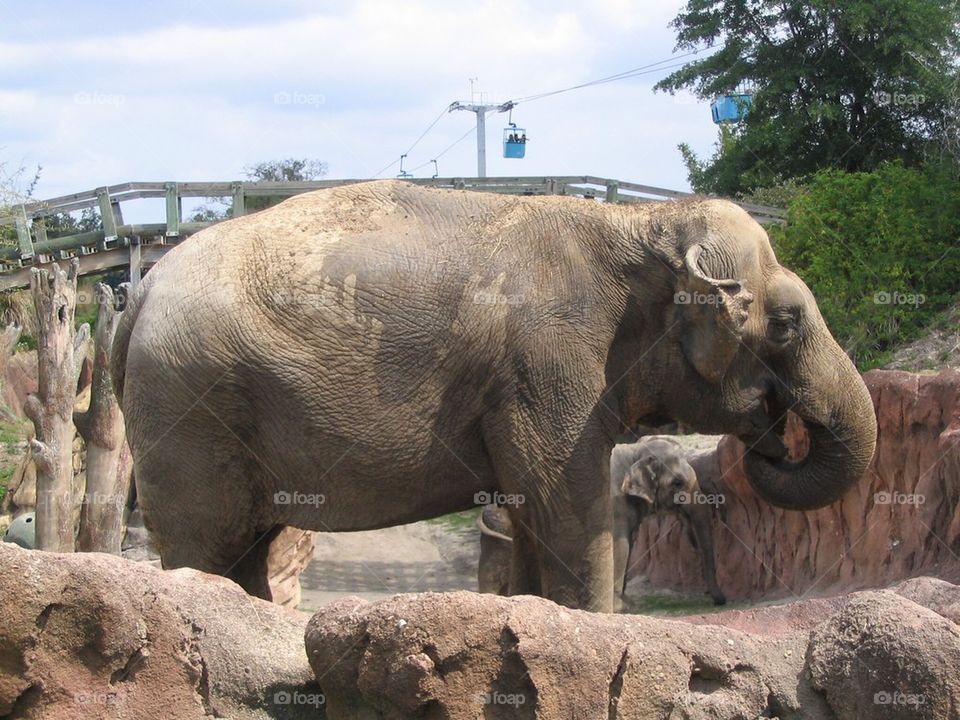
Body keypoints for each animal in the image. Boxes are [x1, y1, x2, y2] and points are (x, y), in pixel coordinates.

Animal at [477, 436, 726, 609]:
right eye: (678, 483)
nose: (719, 601)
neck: (635, 450)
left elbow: (629, 545)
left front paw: (625, 604)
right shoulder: (614, 502)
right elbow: (620, 546)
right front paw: (621, 608)